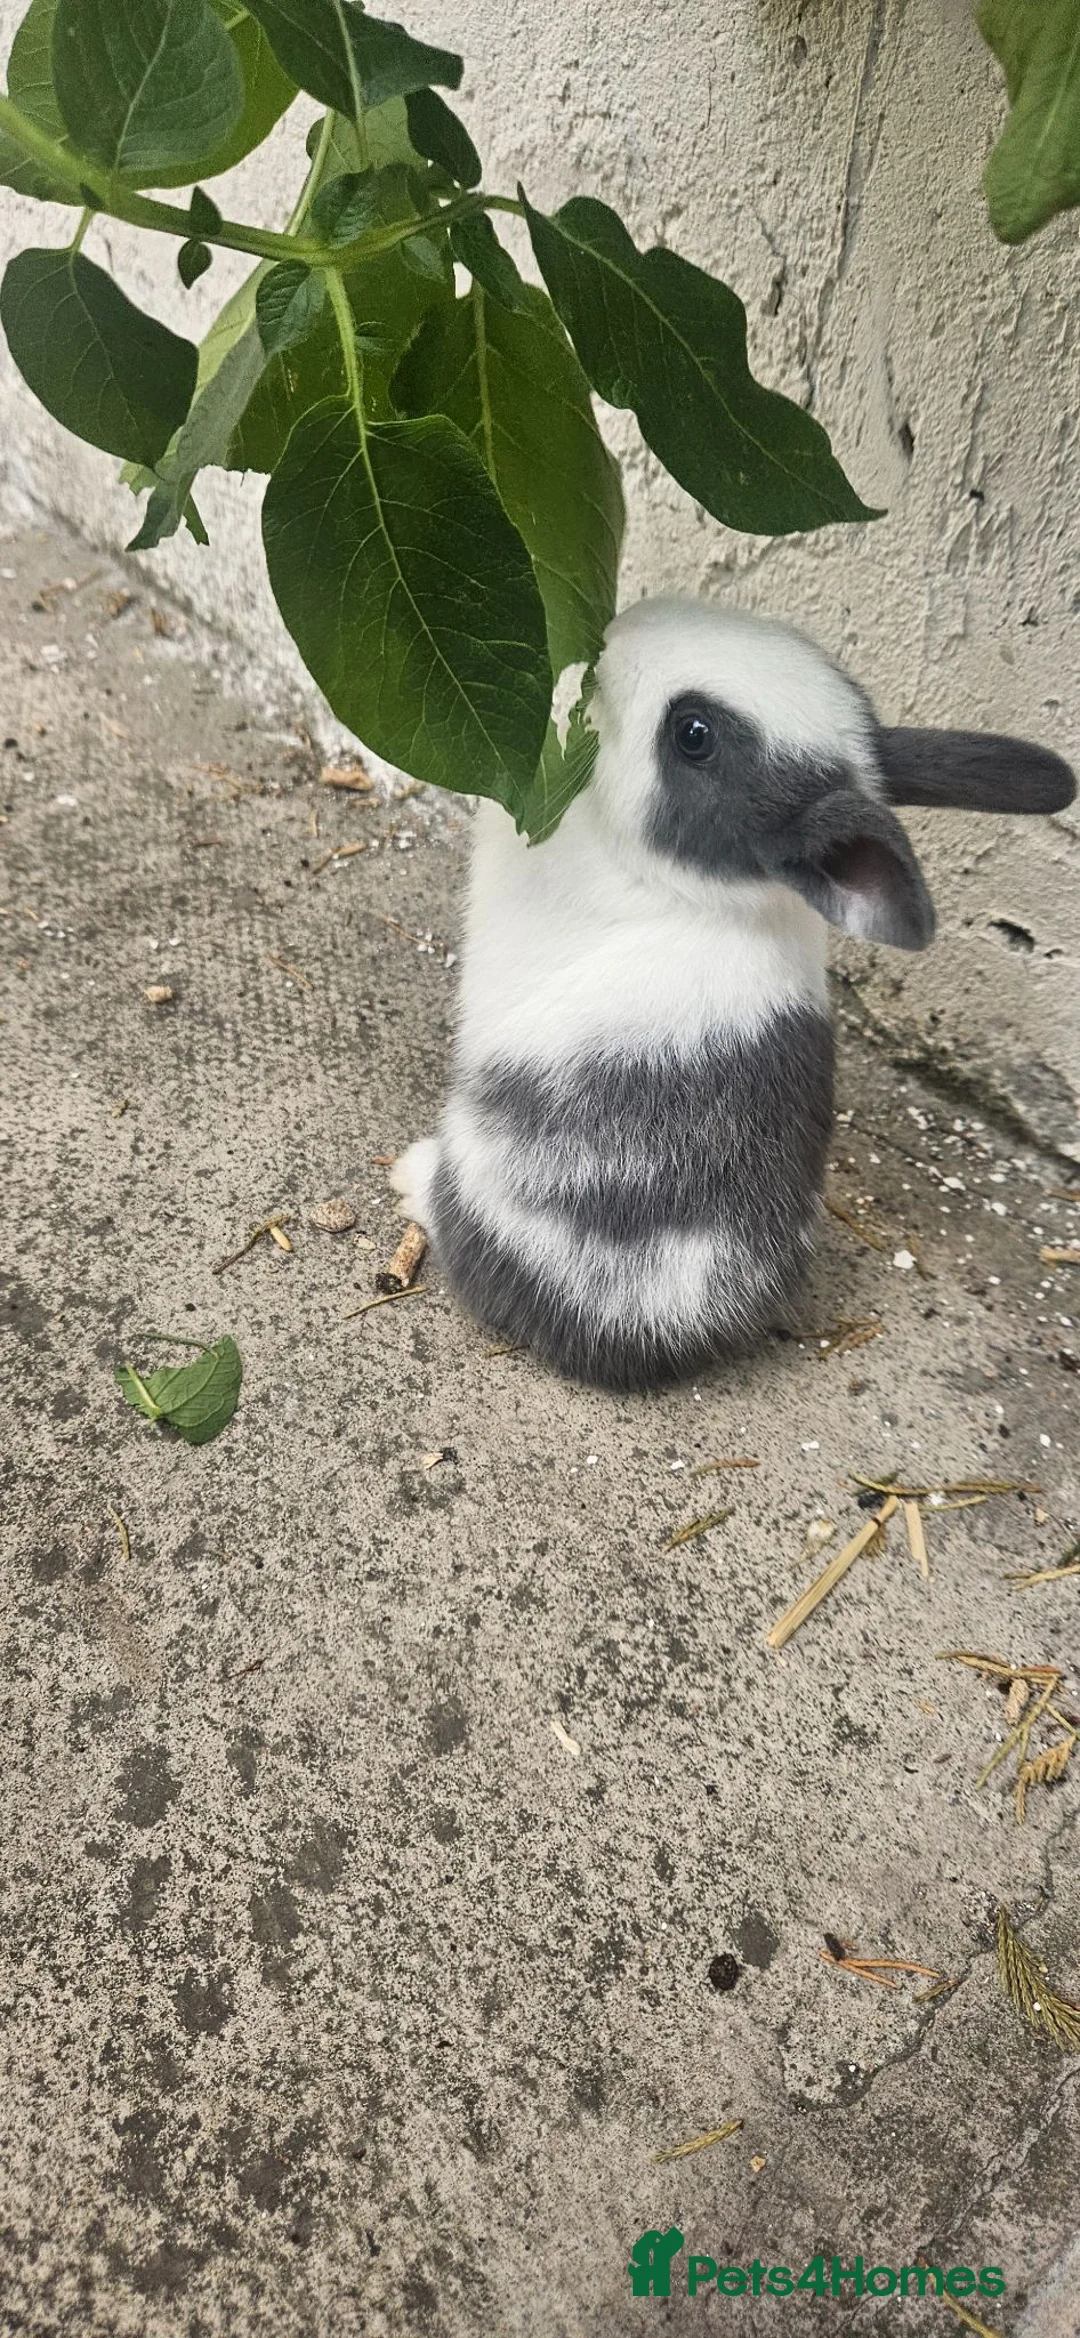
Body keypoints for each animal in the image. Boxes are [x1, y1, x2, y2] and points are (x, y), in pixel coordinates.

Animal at [391, 597, 1075, 1392]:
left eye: (695, 736)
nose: (619, 632)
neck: (686, 885)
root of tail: (659, 1329)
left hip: (480, 1165)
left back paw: (412, 1175)